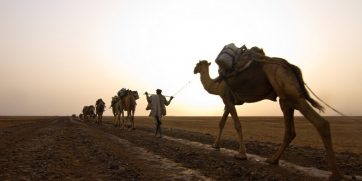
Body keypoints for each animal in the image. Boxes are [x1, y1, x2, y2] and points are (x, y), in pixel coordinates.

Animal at [192, 58, 342, 180]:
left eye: (198, 64)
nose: (194, 70)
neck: (217, 85)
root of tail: (289, 65)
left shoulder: (227, 99)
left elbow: (237, 124)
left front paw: (241, 154)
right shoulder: (229, 102)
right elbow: (222, 122)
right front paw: (215, 145)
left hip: (287, 88)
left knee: (321, 123)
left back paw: (335, 174)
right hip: (285, 97)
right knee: (290, 130)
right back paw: (272, 160)